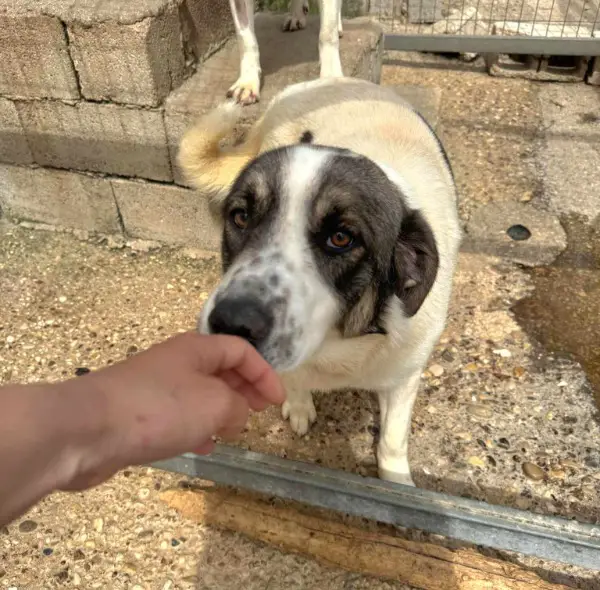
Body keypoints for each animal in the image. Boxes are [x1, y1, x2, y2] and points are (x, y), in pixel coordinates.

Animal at [178, 77, 461, 485]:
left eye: (341, 238)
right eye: (241, 216)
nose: (232, 323)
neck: (337, 349)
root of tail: (334, 78)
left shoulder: (405, 374)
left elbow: (393, 439)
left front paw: (397, 484)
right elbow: (294, 381)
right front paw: (298, 404)